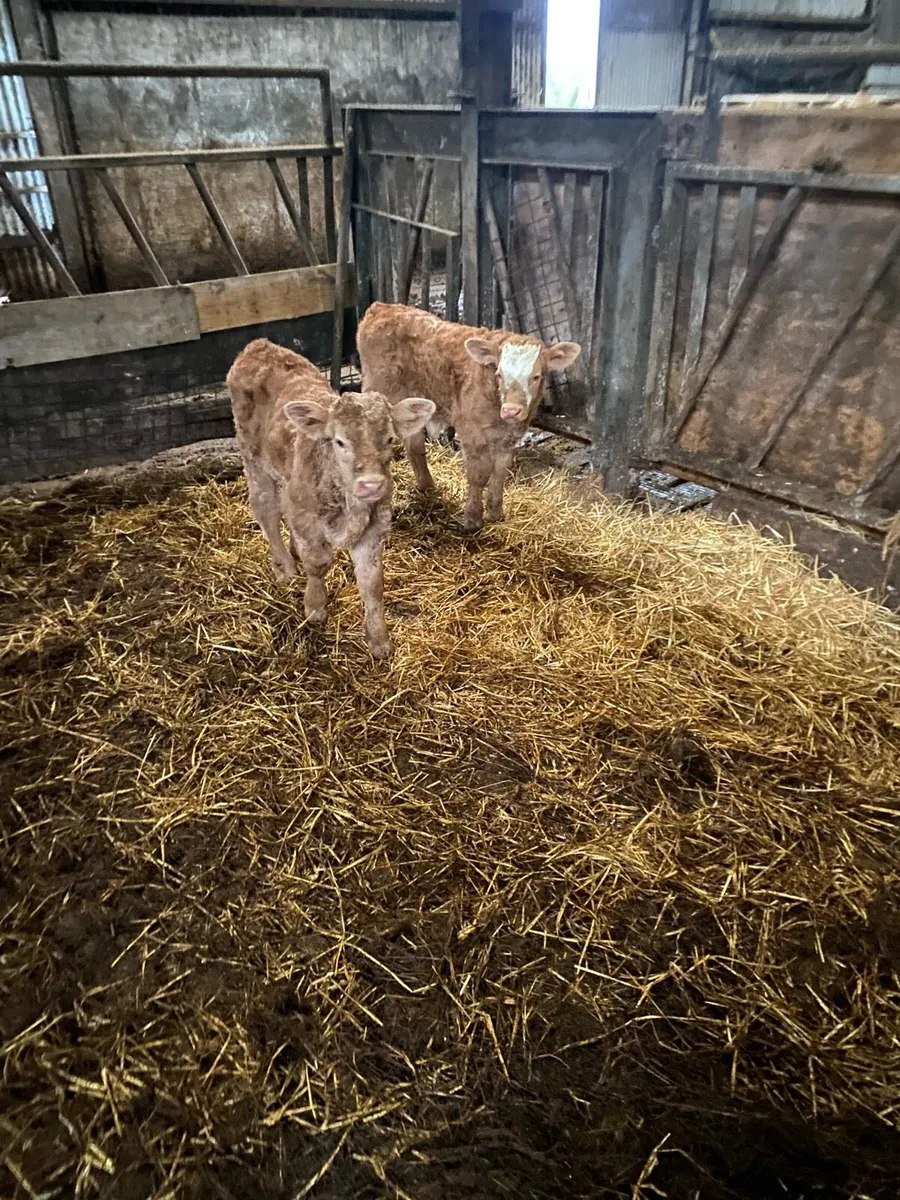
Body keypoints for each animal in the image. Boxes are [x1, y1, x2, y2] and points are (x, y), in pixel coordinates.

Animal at [227, 338, 434, 658]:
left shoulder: (375, 526)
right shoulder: (306, 517)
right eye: (339, 442)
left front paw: (379, 640)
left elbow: (372, 581)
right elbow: (318, 562)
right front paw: (314, 607)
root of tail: (258, 346)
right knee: (266, 510)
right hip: (253, 458)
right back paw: (285, 567)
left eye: (389, 439)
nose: (372, 484)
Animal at [356, 302, 581, 532]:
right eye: (499, 374)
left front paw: (496, 513)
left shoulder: (508, 440)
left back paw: (428, 487)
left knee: (415, 446)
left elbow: (500, 473)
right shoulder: (472, 434)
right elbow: (479, 475)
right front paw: (473, 519)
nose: (511, 410)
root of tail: (382, 307)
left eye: (536, 377)